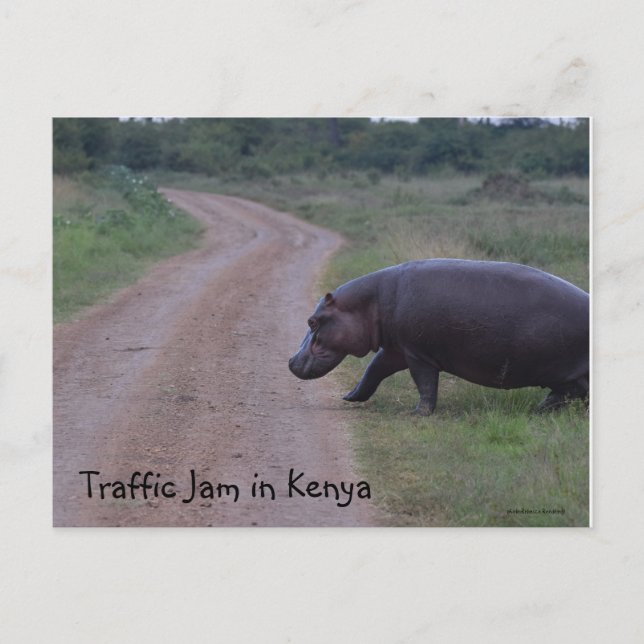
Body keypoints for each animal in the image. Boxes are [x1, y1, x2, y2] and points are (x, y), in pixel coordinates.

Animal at [288, 259, 589, 415]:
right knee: (565, 394)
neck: (369, 302)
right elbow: (373, 371)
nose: (290, 361)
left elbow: (425, 384)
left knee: (570, 394)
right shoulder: (397, 350)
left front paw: (418, 414)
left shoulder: (417, 354)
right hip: (565, 376)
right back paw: (539, 410)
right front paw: (349, 397)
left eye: (312, 321)